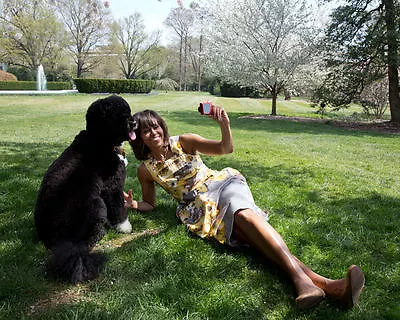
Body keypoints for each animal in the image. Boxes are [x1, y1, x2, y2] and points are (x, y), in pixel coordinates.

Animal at [33, 94, 136, 282]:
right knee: (88, 240)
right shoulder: (113, 186)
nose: (133, 123)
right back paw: (101, 232)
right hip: (95, 205)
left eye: (128, 110)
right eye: (118, 115)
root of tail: (55, 239)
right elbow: (118, 208)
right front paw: (124, 227)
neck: (101, 140)